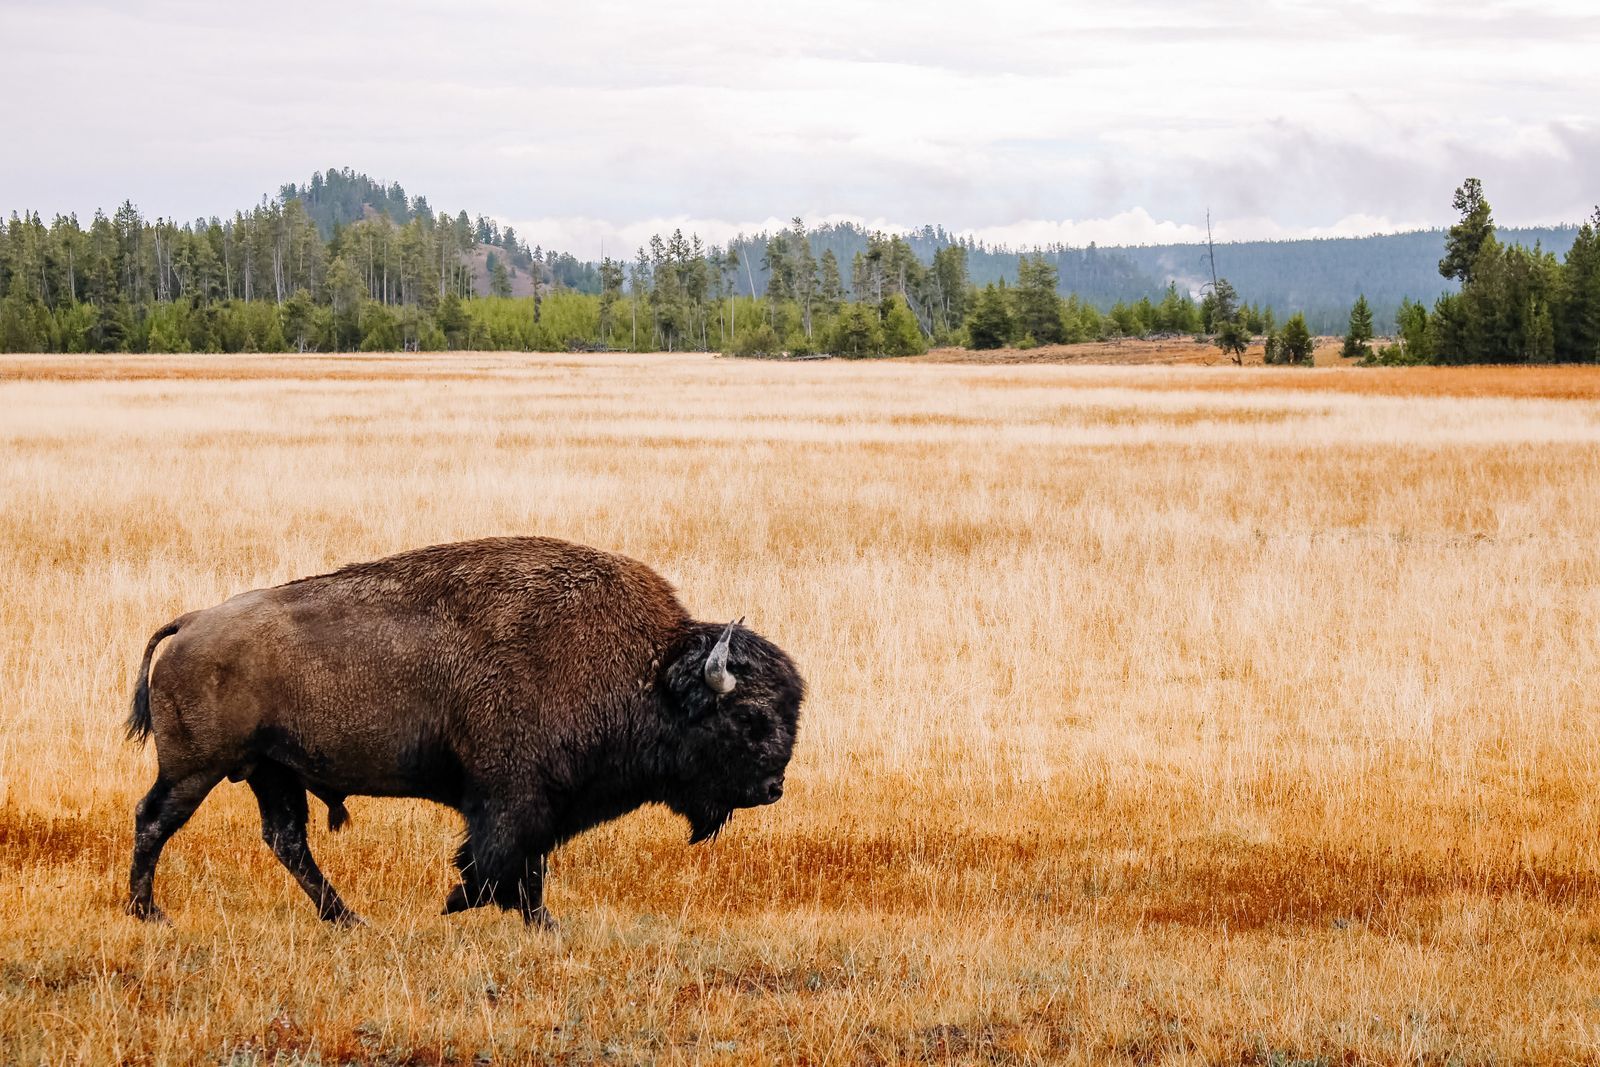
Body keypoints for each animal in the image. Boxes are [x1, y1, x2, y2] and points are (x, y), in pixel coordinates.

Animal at [123, 536, 804, 928]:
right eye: (749, 718)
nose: (772, 788)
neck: (648, 669)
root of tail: (191, 622)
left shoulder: (540, 807)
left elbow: (526, 870)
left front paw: (537, 924)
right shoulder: (512, 799)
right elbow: (497, 864)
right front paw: (456, 904)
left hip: (271, 772)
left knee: (287, 839)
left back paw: (347, 919)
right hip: (196, 768)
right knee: (154, 820)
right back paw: (146, 912)